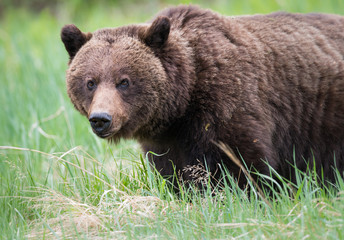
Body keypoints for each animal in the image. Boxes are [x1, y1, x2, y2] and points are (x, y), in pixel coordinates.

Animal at [61, 4, 344, 188]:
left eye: (124, 81)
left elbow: (244, 166)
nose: (101, 119)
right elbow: (172, 173)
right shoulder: (166, 140)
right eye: (90, 82)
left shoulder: (226, 106)